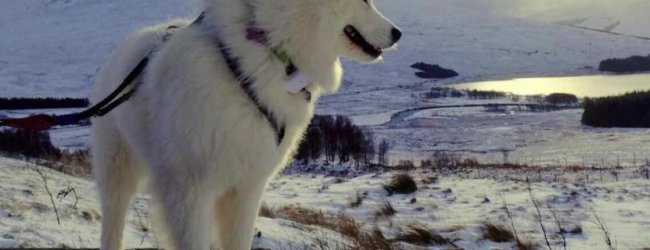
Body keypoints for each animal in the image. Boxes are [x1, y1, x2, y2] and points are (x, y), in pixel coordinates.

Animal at [88, 0, 398, 249]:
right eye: (365, 1)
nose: (398, 33)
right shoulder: (188, 190)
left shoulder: (247, 188)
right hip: (117, 171)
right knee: (113, 223)